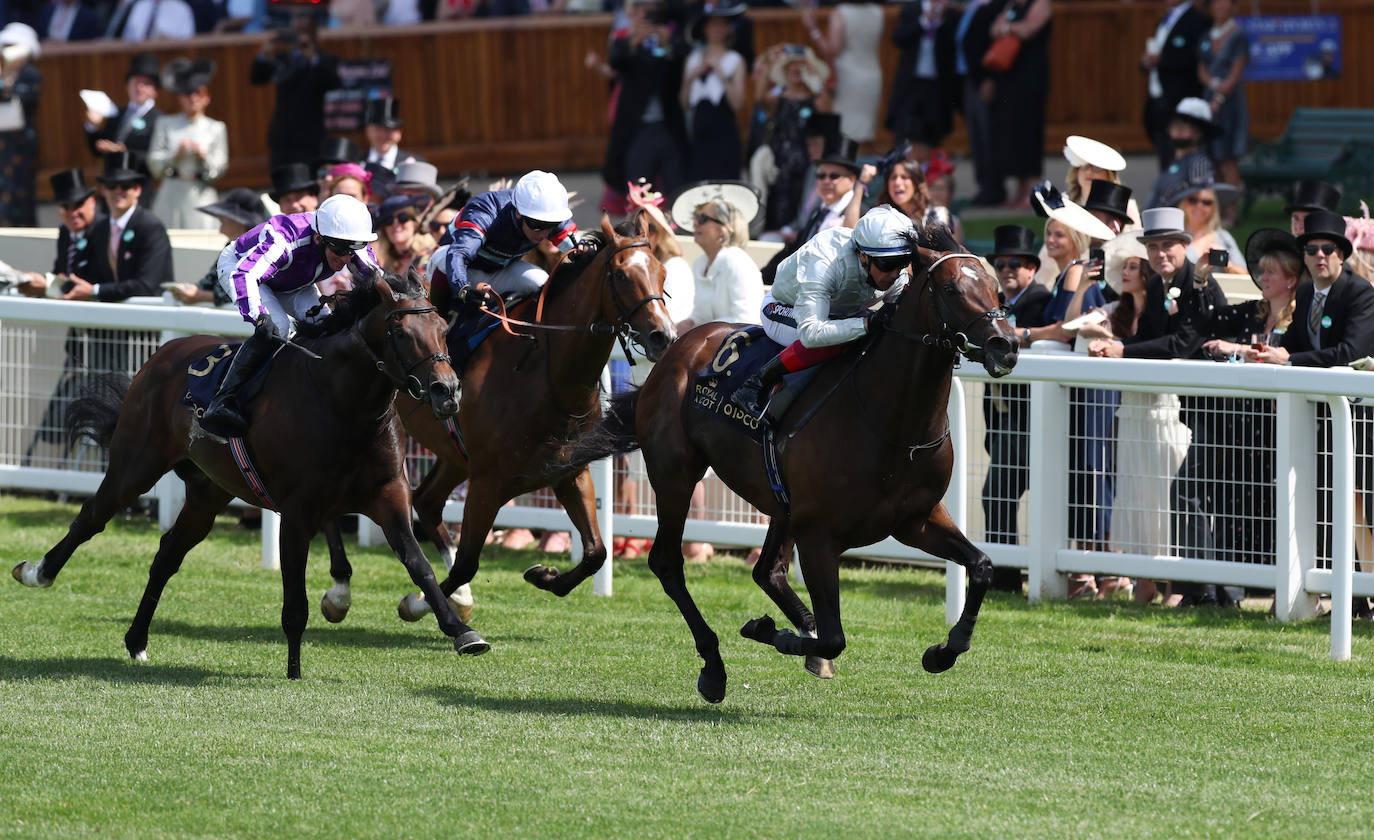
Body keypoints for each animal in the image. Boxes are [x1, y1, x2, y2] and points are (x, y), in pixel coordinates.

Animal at [10, 272, 478, 679]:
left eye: (442, 327)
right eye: (401, 333)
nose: (448, 391)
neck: (343, 403)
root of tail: (163, 354)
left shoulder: (388, 494)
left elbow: (418, 564)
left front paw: (462, 631)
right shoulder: (297, 511)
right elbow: (295, 602)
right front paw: (294, 672)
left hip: (208, 492)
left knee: (167, 554)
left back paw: (137, 640)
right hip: (136, 465)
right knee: (92, 516)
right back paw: (37, 572)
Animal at [373, 217, 673, 632]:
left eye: (662, 272)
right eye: (622, 275)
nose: (663, 335)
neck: (545, 374)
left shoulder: (568, 471)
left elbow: (596, 552)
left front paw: (543, 575)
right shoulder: (488, 482)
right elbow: (466, 564)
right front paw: (417, 603)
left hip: (454, 455)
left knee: (427, 501)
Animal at [557, 225, 1022, 703]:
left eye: (997, 288)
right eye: (950, 288)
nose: (1006, 344)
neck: (890, 420)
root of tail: (678, 346)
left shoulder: (917, 519)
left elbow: (982, 567)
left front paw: (945, 649)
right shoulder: (820, 535)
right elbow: (835, 637)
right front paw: (773, 633)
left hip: (781, 502)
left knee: (768, 571)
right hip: (676, 475)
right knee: (669, 563)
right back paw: (715, 667)